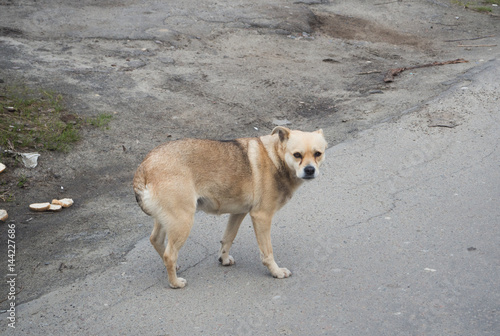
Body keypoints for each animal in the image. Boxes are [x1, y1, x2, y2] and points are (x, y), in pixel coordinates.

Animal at [134, 126, 328, 288]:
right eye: (297, 155)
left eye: (318, 153)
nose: (310, 170)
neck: (275, 157)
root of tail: (145, 166)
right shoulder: (262, 217)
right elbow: (267, 252)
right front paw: (276, 271)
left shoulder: (239, 213)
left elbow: (228, 238)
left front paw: (224, 259)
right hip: (183, 221)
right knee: (169, 254)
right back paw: (175, 282)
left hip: (167, 220)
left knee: (156, 240)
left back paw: (174, 268)